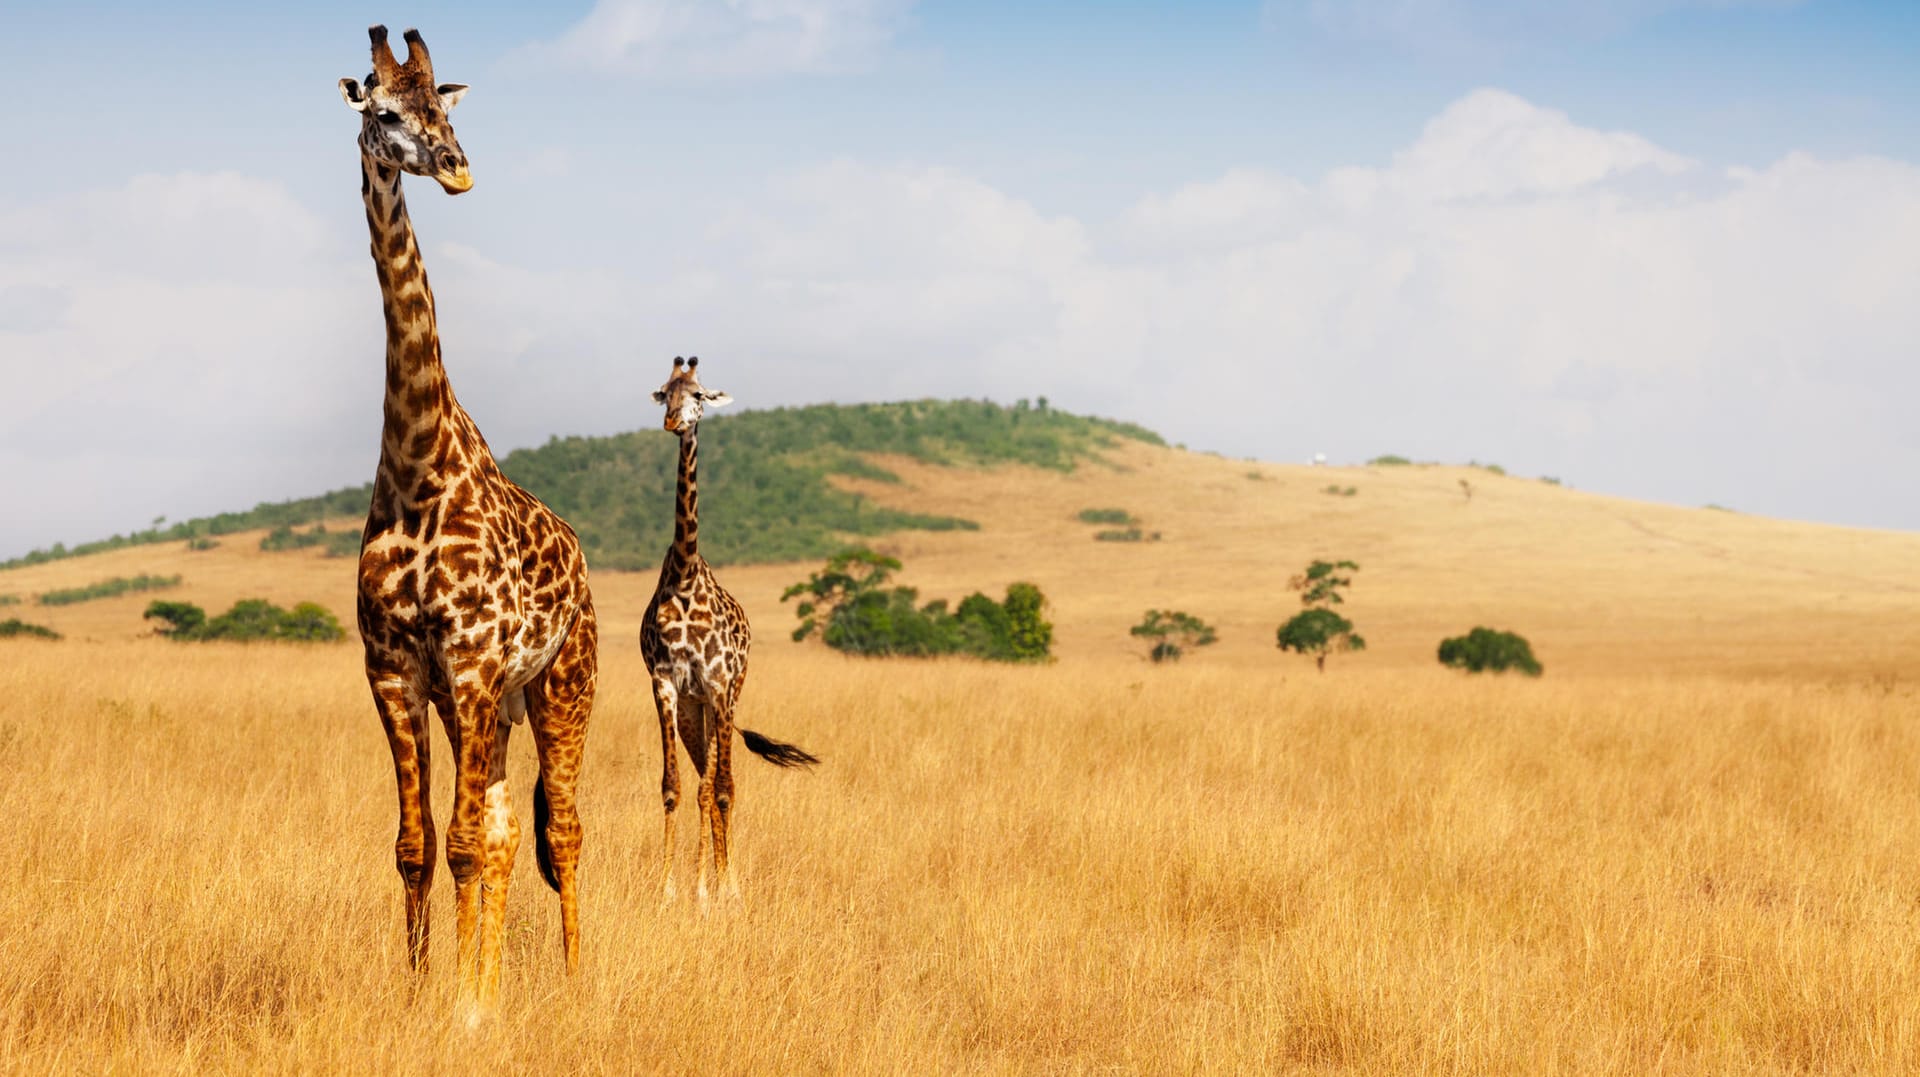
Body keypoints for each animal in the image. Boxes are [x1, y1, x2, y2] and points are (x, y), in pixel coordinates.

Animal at [337, 27, 591, 1005]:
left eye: (442, 108)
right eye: (382, 111)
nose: (457, 168)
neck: (416, 463)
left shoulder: (476, 662)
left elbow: (463, 843)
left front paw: (469, 1010)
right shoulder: (398, 669)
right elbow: (417, 844)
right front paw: (426, 992)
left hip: (561, 685)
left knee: (559, 828)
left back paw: (573, 975)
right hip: (488, 704)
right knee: (509, 824)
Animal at [641, 355, 814, 906]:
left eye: (698, 395)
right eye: (665, 391)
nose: (673, 422)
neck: (683, 574)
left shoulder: (717, 684)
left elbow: (718, 789)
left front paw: (719, 891)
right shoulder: (666, 685)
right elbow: (674, 785)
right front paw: (670, 891)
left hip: (728, 697)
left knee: (721, 784)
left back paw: (723, 884)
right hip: (695, 712)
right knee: (703, 777)